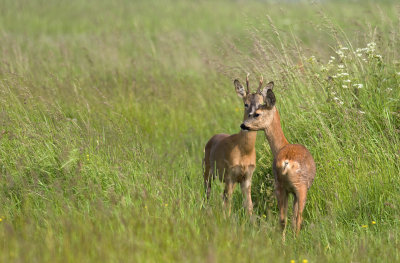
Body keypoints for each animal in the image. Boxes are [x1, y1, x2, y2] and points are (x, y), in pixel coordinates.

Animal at [202, 75, 264, 217]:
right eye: (245, 104)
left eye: (260, 104)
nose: (252, 116)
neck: (244, 152)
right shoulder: (230, 174)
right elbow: (228, 203)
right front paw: (226, 219)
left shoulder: (247, 177)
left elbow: (249, 205)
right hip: (207, 169)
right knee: (208, 191)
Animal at [239, 80, 318, 237]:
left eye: (256, 113)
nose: (243, 125)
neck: (283, 145)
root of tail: (286, 162)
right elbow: (295, 217)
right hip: (300, 187)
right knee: (297, 218)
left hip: (280, 186)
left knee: (282, 219)